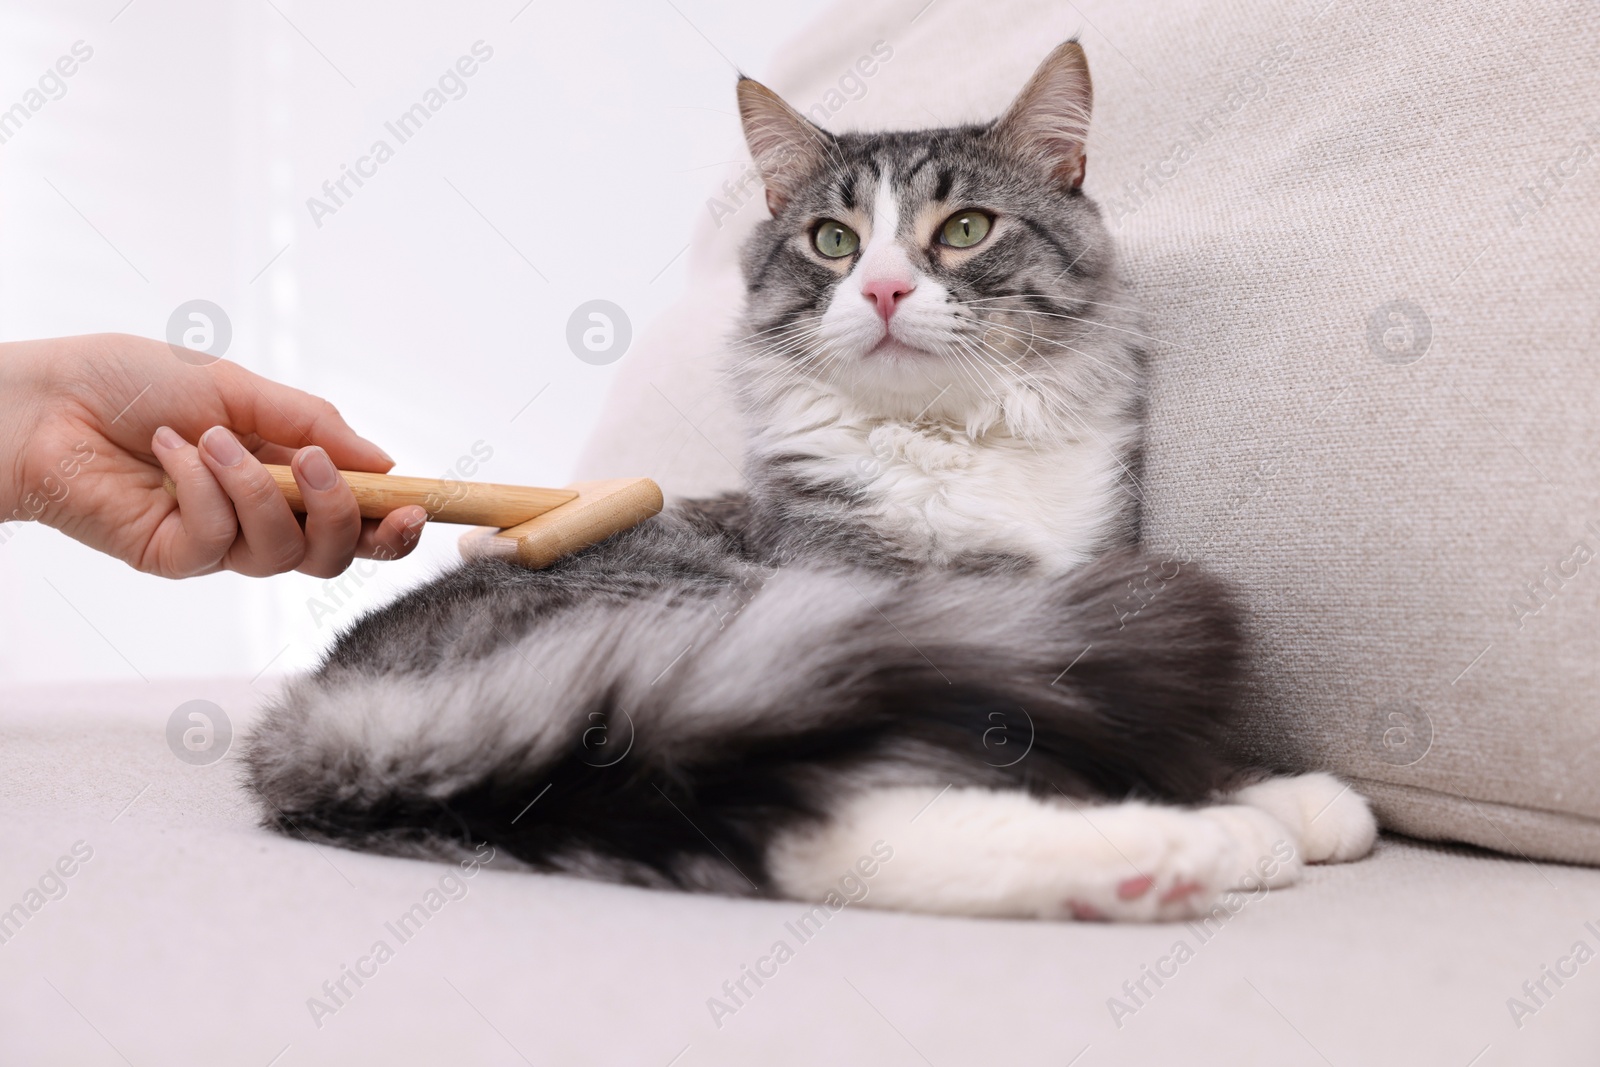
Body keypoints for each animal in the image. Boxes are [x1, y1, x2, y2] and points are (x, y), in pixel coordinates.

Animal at [243, 41, 1369, 921]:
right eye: (833, 242)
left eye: (965, 228)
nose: (881, 290)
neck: (952, 442)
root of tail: (326, 708)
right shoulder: (917, 605)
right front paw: (1246, 807)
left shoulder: (1066, 604)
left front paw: (1278, 792)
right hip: (742, 640)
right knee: (828, 816)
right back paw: (1171, 853)